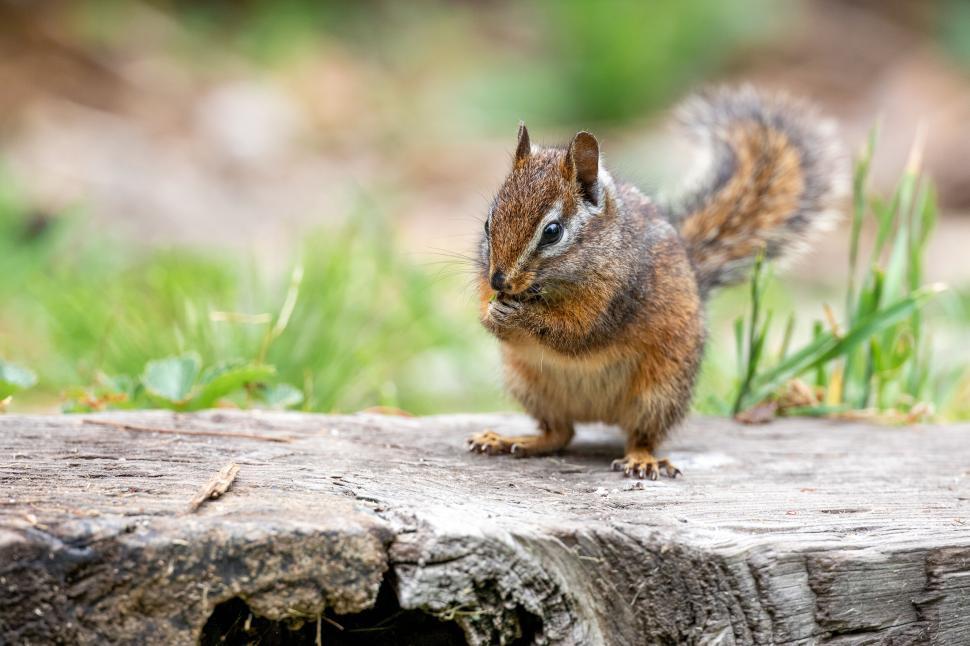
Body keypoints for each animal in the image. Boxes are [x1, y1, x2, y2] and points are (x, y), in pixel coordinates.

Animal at [468, 85, 847, 479]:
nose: (499, 280)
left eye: (553, 232)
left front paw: (518, 315)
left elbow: (576, 334)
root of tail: (597, 415)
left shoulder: (617, 299)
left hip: (658, 391)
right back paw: (511, 440)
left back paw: (641, 459)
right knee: (559, 433)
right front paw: (490, 313)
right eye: (488, 223)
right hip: (528, 384)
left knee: (640, 435)